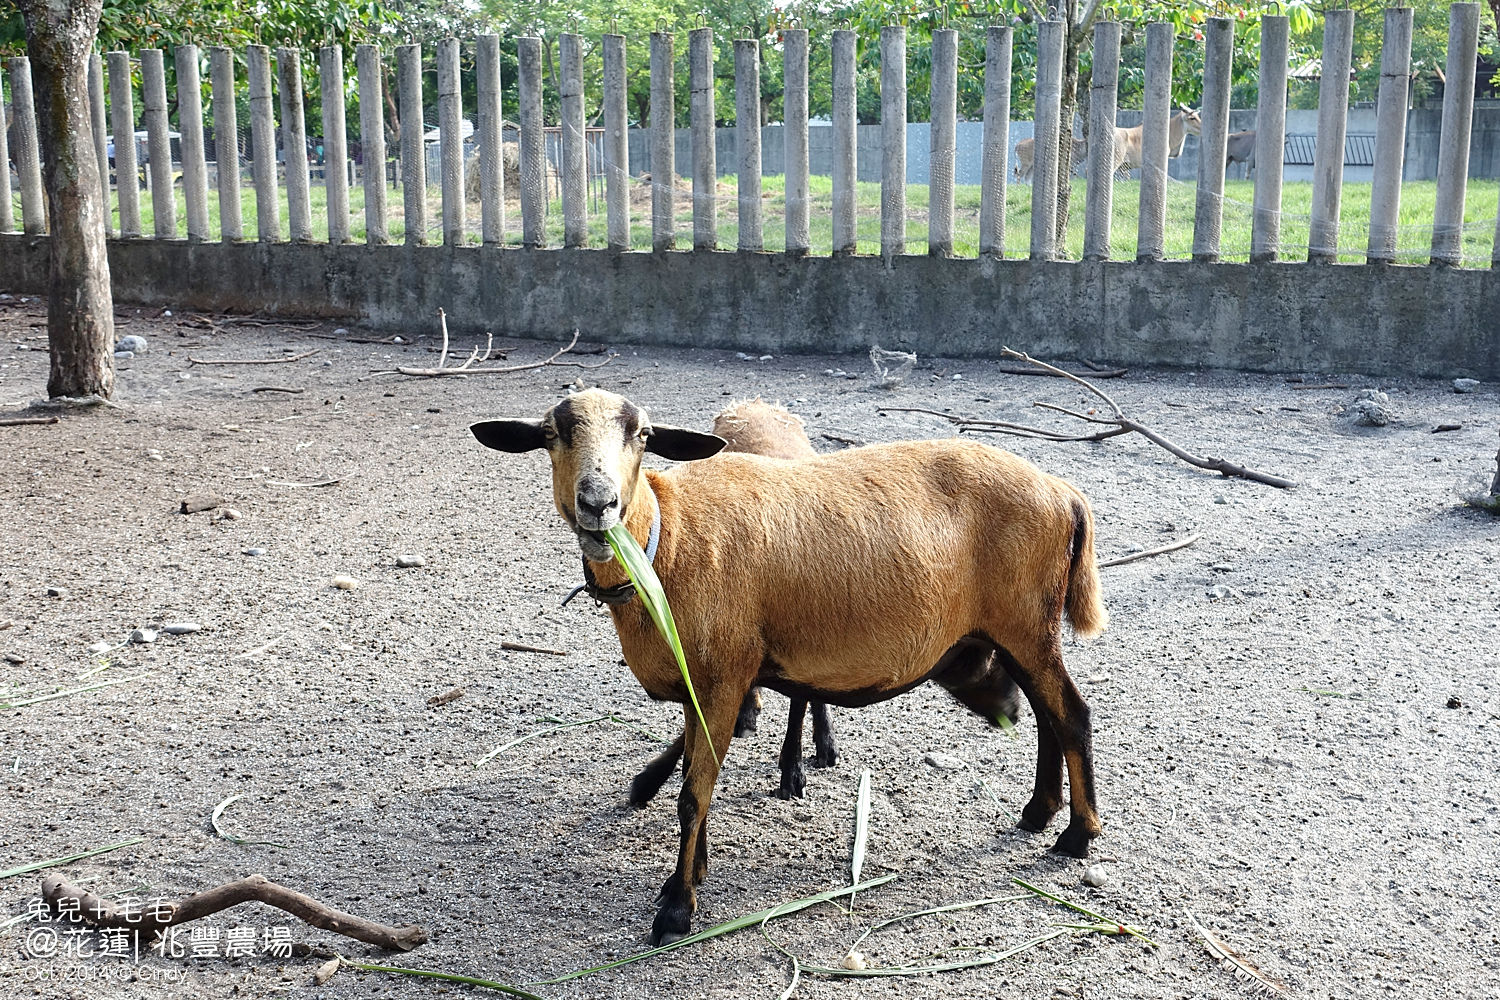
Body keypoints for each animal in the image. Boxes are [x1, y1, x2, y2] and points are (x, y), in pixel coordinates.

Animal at [474, 389, 1110, 947]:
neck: (666, 543)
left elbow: (693, 794)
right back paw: (1039, 811)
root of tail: (1065, 493)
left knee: (1071, 715)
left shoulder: (725, 675)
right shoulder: (704, 683)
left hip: (1024, 623)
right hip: (1021, 630)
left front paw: (677, 908)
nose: (597, 502)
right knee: (1048, 717)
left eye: (644, 435)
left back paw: (1077, 835)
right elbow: (696, 776)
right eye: (551, 434)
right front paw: (694, 868)